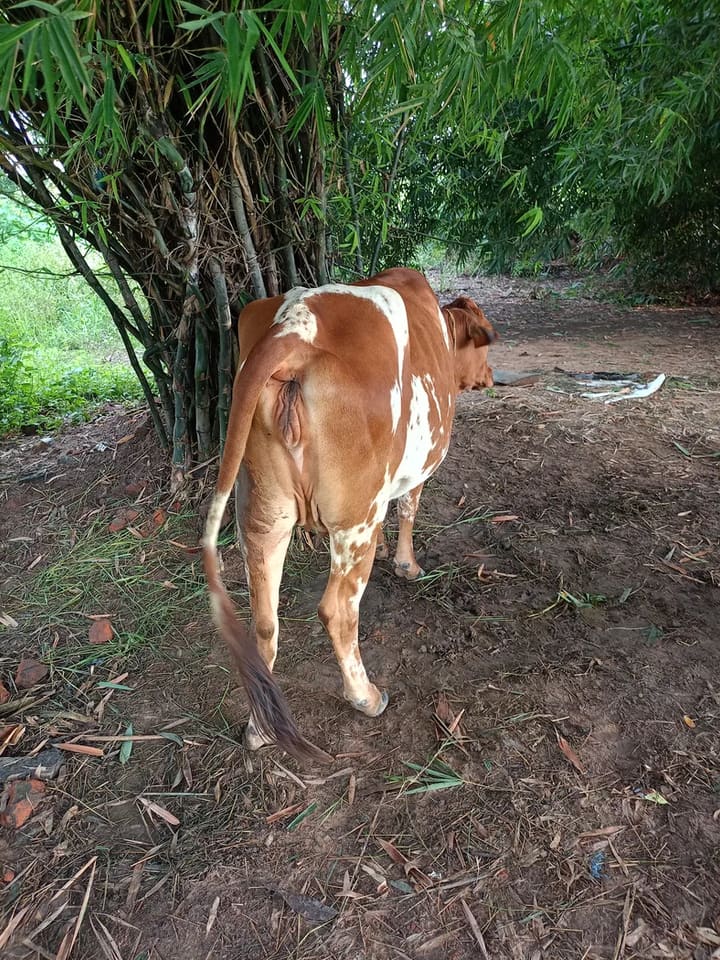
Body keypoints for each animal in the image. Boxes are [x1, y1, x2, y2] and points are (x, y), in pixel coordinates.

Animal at [202, 268, 497, 761]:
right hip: (356, 518)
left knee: (264, 620)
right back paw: (366, 696)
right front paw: (407, 565)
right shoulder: (415, 470)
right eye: (486, 346)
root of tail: (293, 328)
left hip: (262, 516)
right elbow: (410, 509)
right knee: (338, 610)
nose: (492, 377)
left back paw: (262, 728)